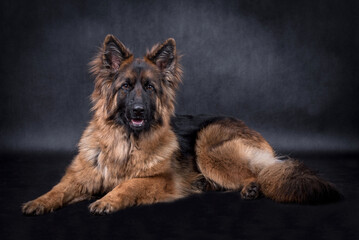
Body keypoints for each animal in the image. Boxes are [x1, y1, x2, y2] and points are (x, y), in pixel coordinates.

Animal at [21, 34, 342, 216]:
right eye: (126, 87)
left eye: (150, 88)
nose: (138, 110)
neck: (126, 143)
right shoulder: (81, 175)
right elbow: (59, 189)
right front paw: (39, 201)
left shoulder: (158, 180)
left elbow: (128, 185)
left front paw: (108, 200)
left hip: (208, 145)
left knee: (260, 174)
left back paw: (250, 187)